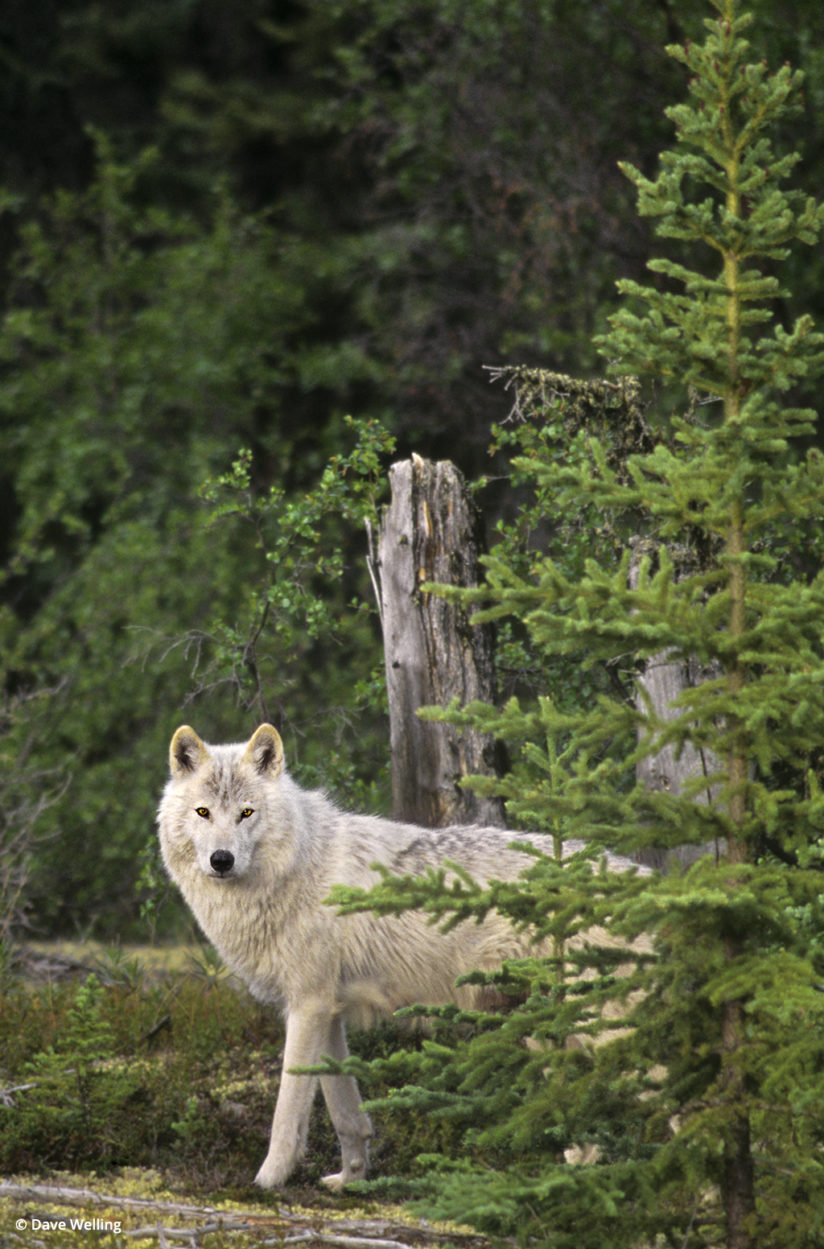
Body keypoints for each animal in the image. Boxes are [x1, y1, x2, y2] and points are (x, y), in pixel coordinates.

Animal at [157, 724, 649, 1189]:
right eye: (203, 812)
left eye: (246, 813)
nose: (221, 860)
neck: (295, 870)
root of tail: (643, 877)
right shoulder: (326, 1012)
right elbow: (347, 1115)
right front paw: (351, 1179)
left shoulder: (308, 1006)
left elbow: (287, 1111)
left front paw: (267, 1182)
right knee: (587, 1130)